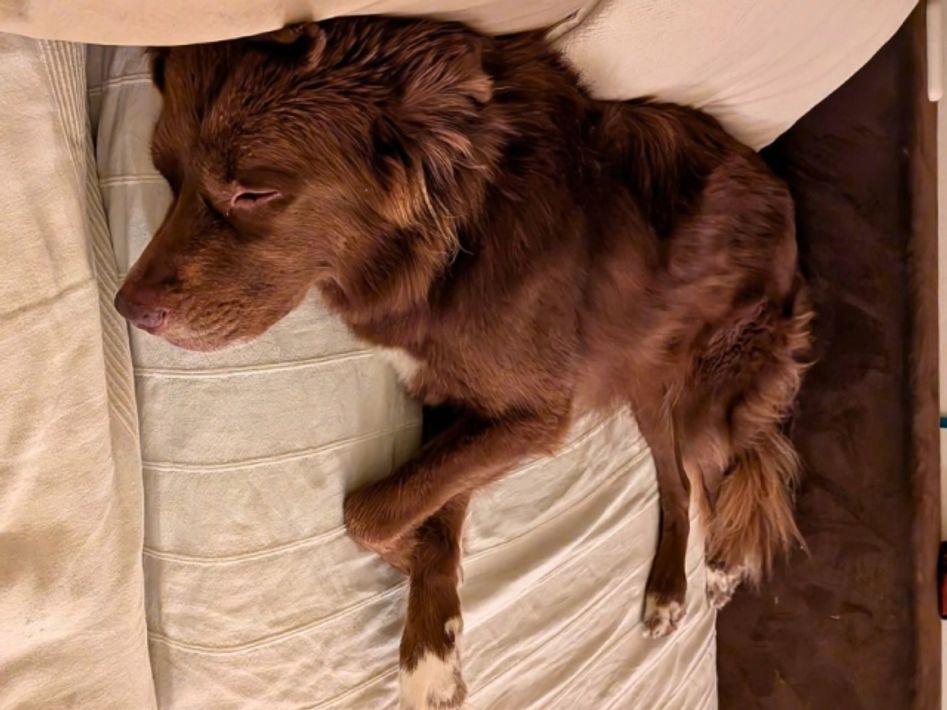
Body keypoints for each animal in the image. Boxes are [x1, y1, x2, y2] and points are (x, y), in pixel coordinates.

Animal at [114, 17, 813, 709]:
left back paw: (722, 564)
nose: (127, 309)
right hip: (642, 374)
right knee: (678, 479)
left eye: (253, 192)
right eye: (165, 175)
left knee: (724, 463)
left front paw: (412, 573)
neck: (457, 236)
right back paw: (668, 589)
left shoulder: (534, 412)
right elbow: (426, 501)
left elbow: (369, 509)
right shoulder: (454, 398)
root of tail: (779, 189)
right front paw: (434, 643)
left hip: (707, 394)